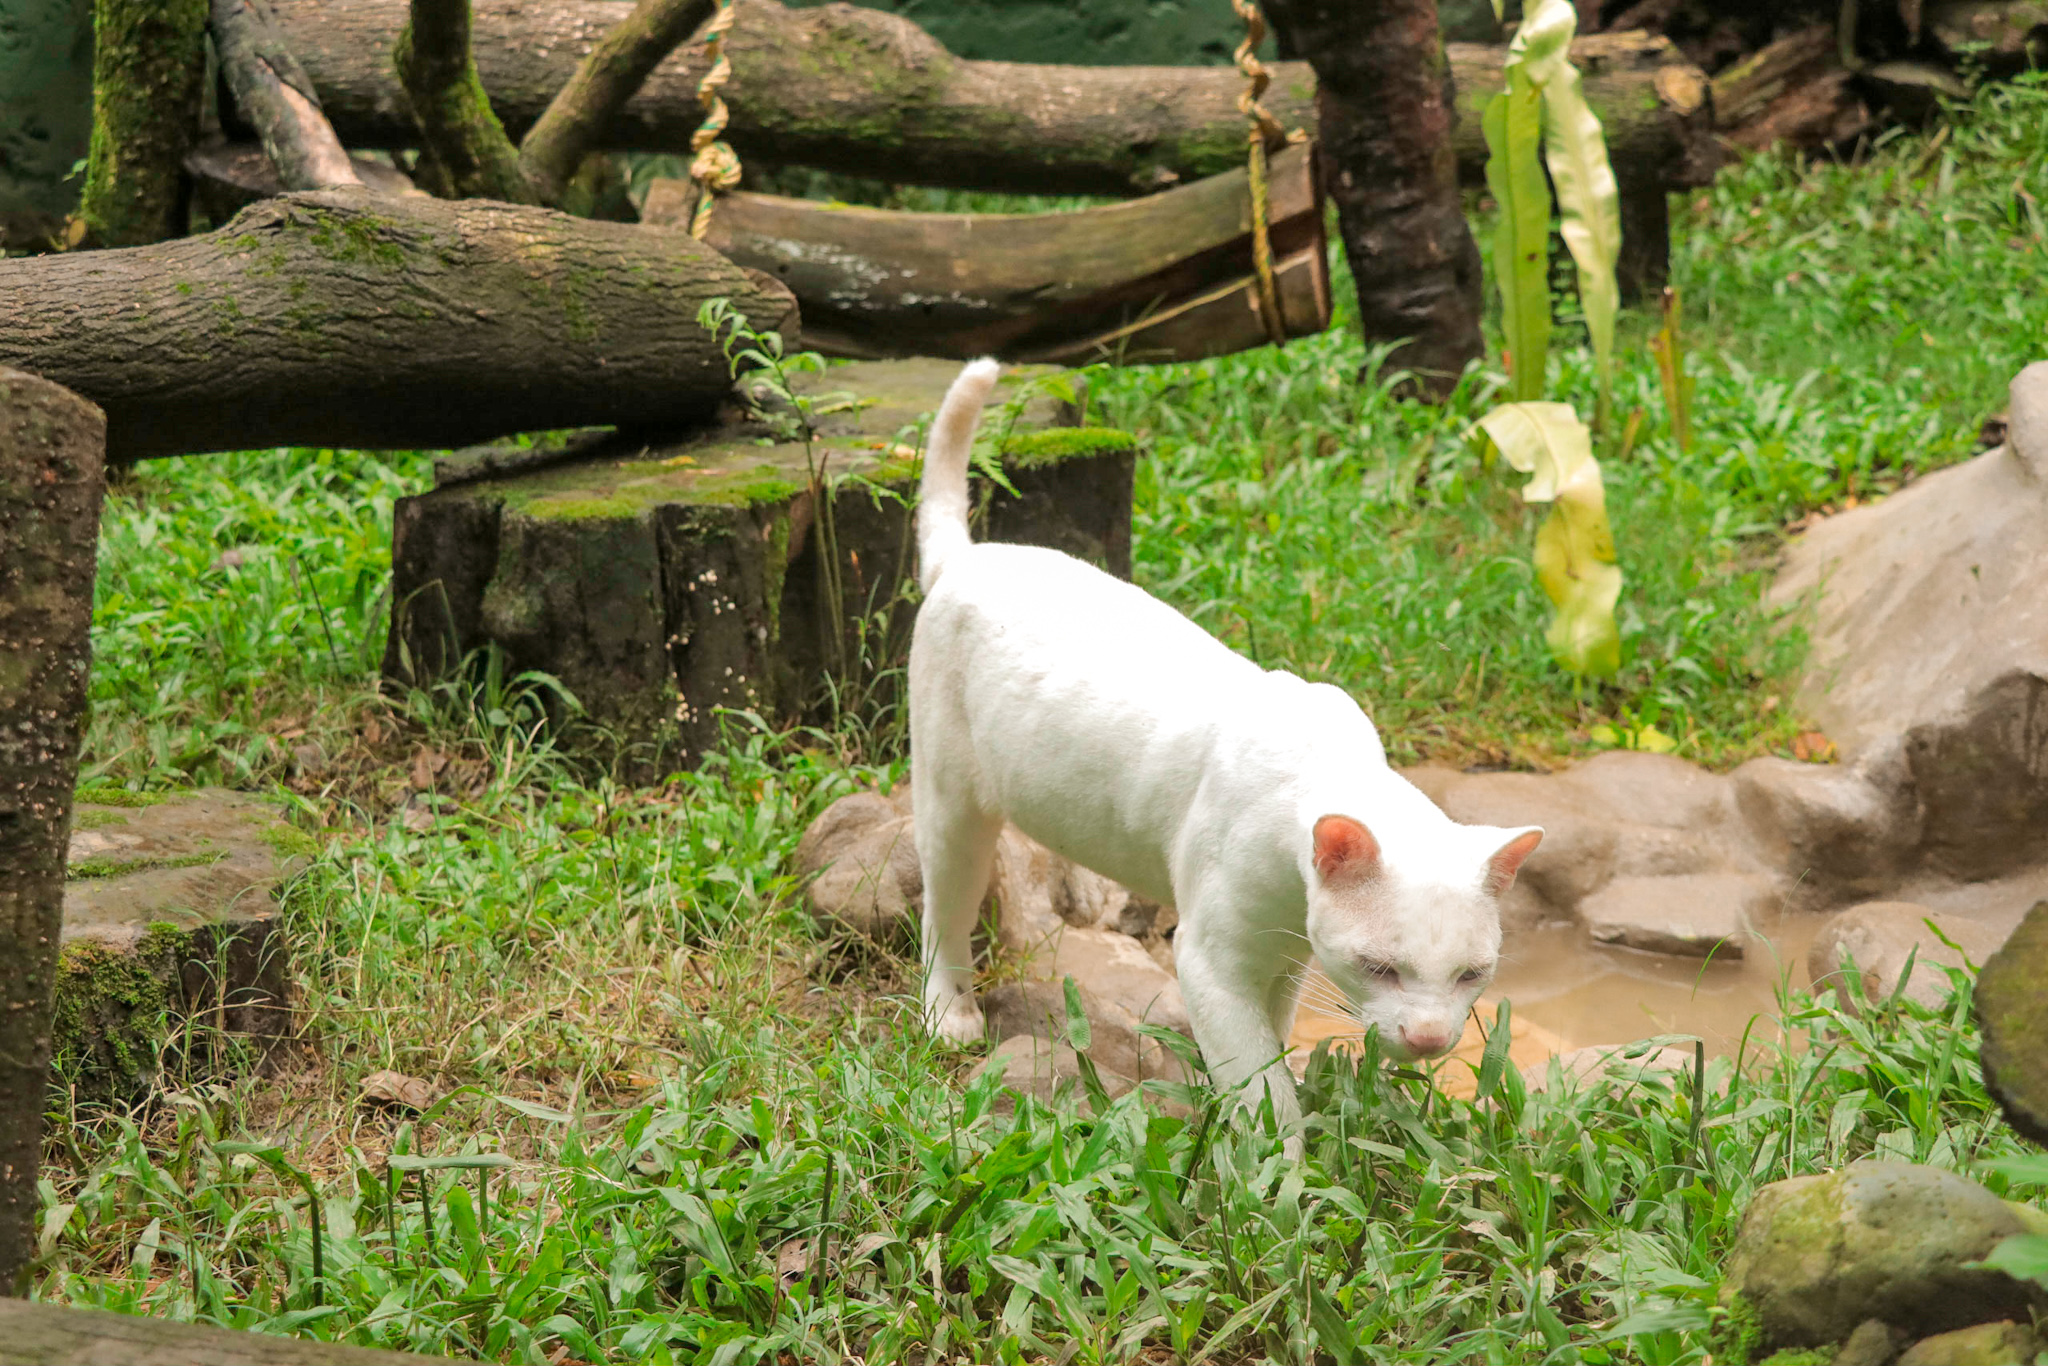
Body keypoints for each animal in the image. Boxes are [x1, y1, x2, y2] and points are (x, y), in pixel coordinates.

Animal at [913, 360, 1540, 1146]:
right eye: (1381, 967)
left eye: (1471, 974)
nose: (1428, 1039)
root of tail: (971, 557)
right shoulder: (1212, 959)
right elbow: (1262, 1085)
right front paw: (1278, 1166)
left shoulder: (1284, 959)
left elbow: (1269, 1044)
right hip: (950, 804)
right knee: (944, 906)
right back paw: (950, 1013)